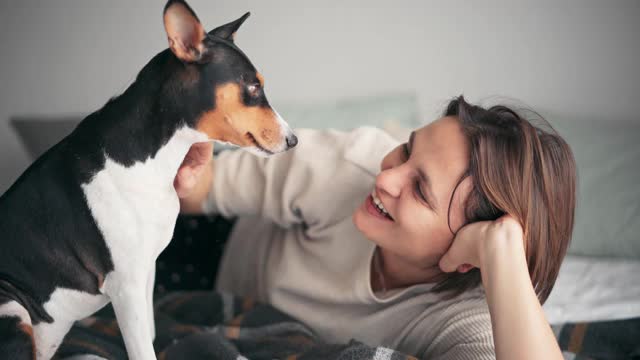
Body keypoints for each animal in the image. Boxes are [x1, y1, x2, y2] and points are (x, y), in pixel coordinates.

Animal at [0, 1, 298, 358]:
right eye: (253, 87)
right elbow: (142, 349)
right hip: (13, 307)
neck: (150, 163)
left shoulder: (145, 272)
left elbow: (152, 336)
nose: (293, 140)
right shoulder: (126, 285)